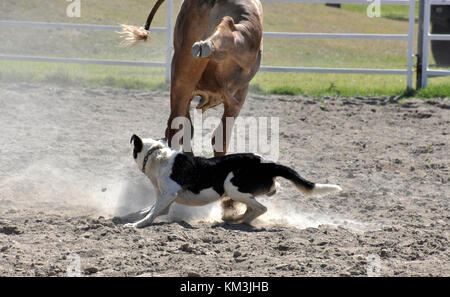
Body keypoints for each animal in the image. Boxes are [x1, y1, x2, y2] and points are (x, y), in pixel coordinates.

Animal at [123, 134, 342, 227]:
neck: (158, 157)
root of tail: (267, 164)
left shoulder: (169, 194)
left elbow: (152, 213)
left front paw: (136, 225)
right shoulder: (165, 198)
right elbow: (150, 209)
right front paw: (129, 217)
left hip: (231, 186)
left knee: (261, 208)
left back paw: (241, 222)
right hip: (238, 192)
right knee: (253, 207)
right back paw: (235, 219)